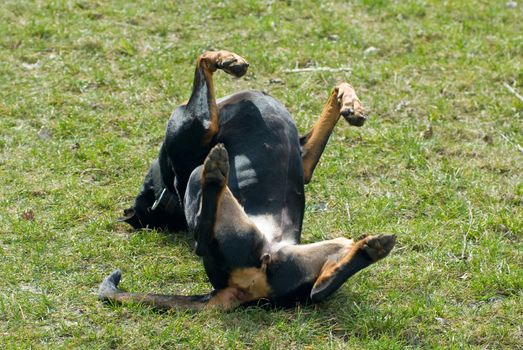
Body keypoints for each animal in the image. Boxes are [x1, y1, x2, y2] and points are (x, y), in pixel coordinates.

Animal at [98, 50, 396, 310]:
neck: (165, 184)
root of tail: (234, 290)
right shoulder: (202, 125)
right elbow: (202, 60)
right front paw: (225, 59)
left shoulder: (306, 159)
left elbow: (338, 87)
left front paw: (351, 104)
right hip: (198, 181)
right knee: (201, 240)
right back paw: (215, 170)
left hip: (315, 252)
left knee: (319, 290)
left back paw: (369, 250)